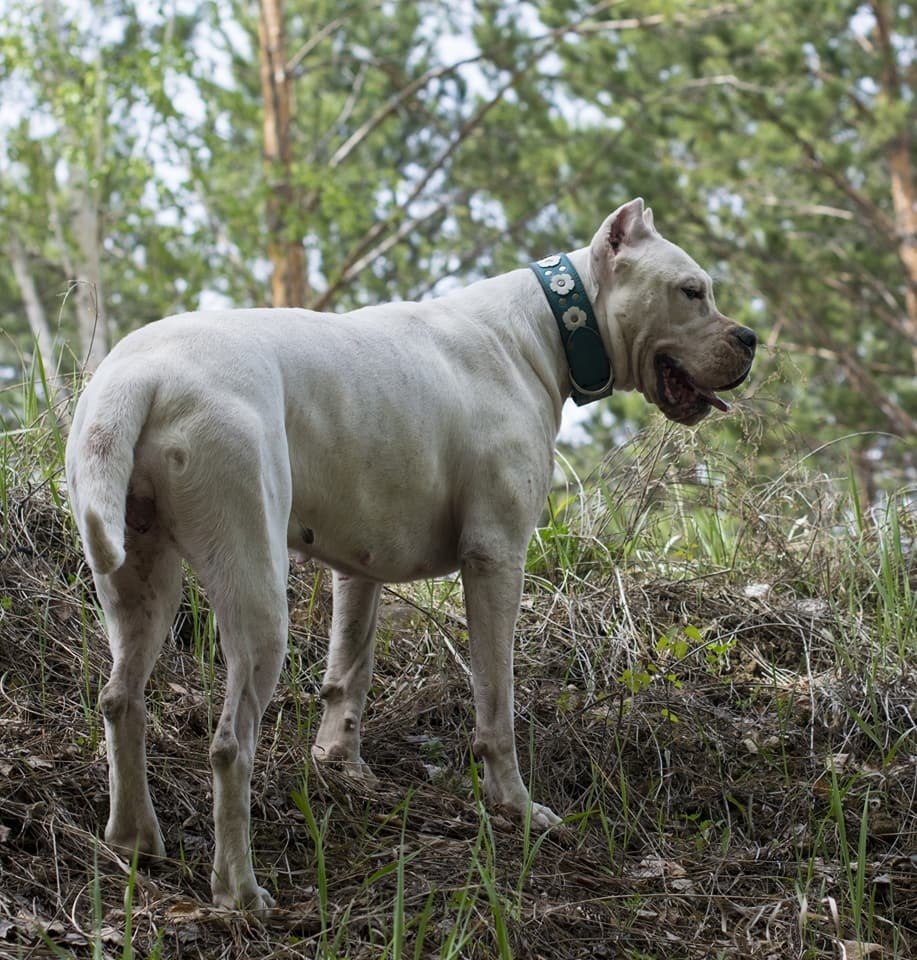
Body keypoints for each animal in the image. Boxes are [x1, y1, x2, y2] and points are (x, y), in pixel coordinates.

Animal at [64, 199, 752, 912]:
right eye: (692, 291)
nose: (751, 339)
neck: (541, 330)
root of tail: (140, 376)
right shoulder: (496, 559)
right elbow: (495, 701)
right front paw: (515, 806)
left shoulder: (358, 569)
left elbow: (349, 673)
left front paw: (341, 766)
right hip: (256, 594)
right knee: (230, 745)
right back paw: (239, 892)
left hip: (139, 583)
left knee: (121, 700)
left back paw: (134, 839)